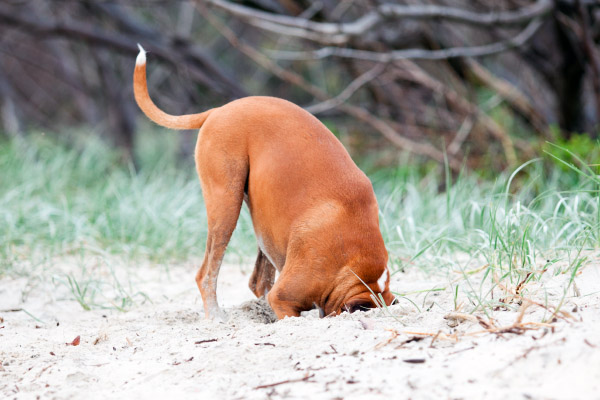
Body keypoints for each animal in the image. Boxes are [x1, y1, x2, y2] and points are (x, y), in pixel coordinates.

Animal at [133, 45, 395, 320]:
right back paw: (216, 316)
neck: (356, 267)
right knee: (207, 274)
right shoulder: (284, 298)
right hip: (226, 209)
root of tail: (219, 110)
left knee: (258, 281)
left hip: (261, 224)